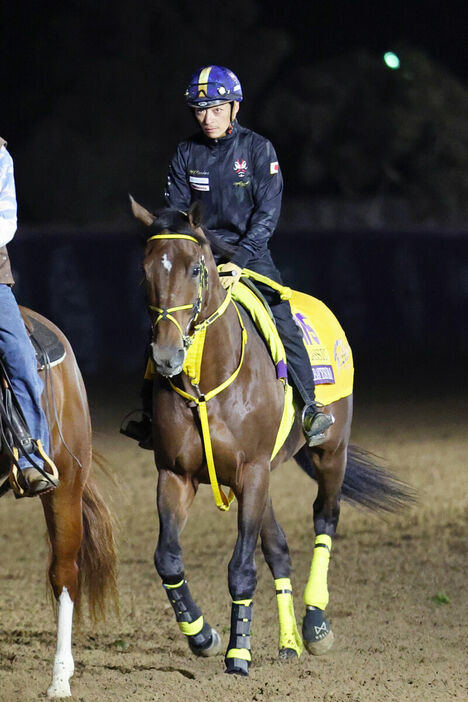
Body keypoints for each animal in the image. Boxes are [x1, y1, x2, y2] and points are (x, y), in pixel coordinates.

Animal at [130, 197, 412, 676]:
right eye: (146, 270)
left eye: (195, 268)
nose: (166, 356)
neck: (208, 383)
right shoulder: (175, 474)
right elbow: (167, 558)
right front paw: (203, 636)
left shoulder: (253, 471)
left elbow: (242, 568)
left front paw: (238, 654)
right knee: (278, 547)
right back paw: (289, 642)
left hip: (330, 453)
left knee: (325, 518)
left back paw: (314, 625)